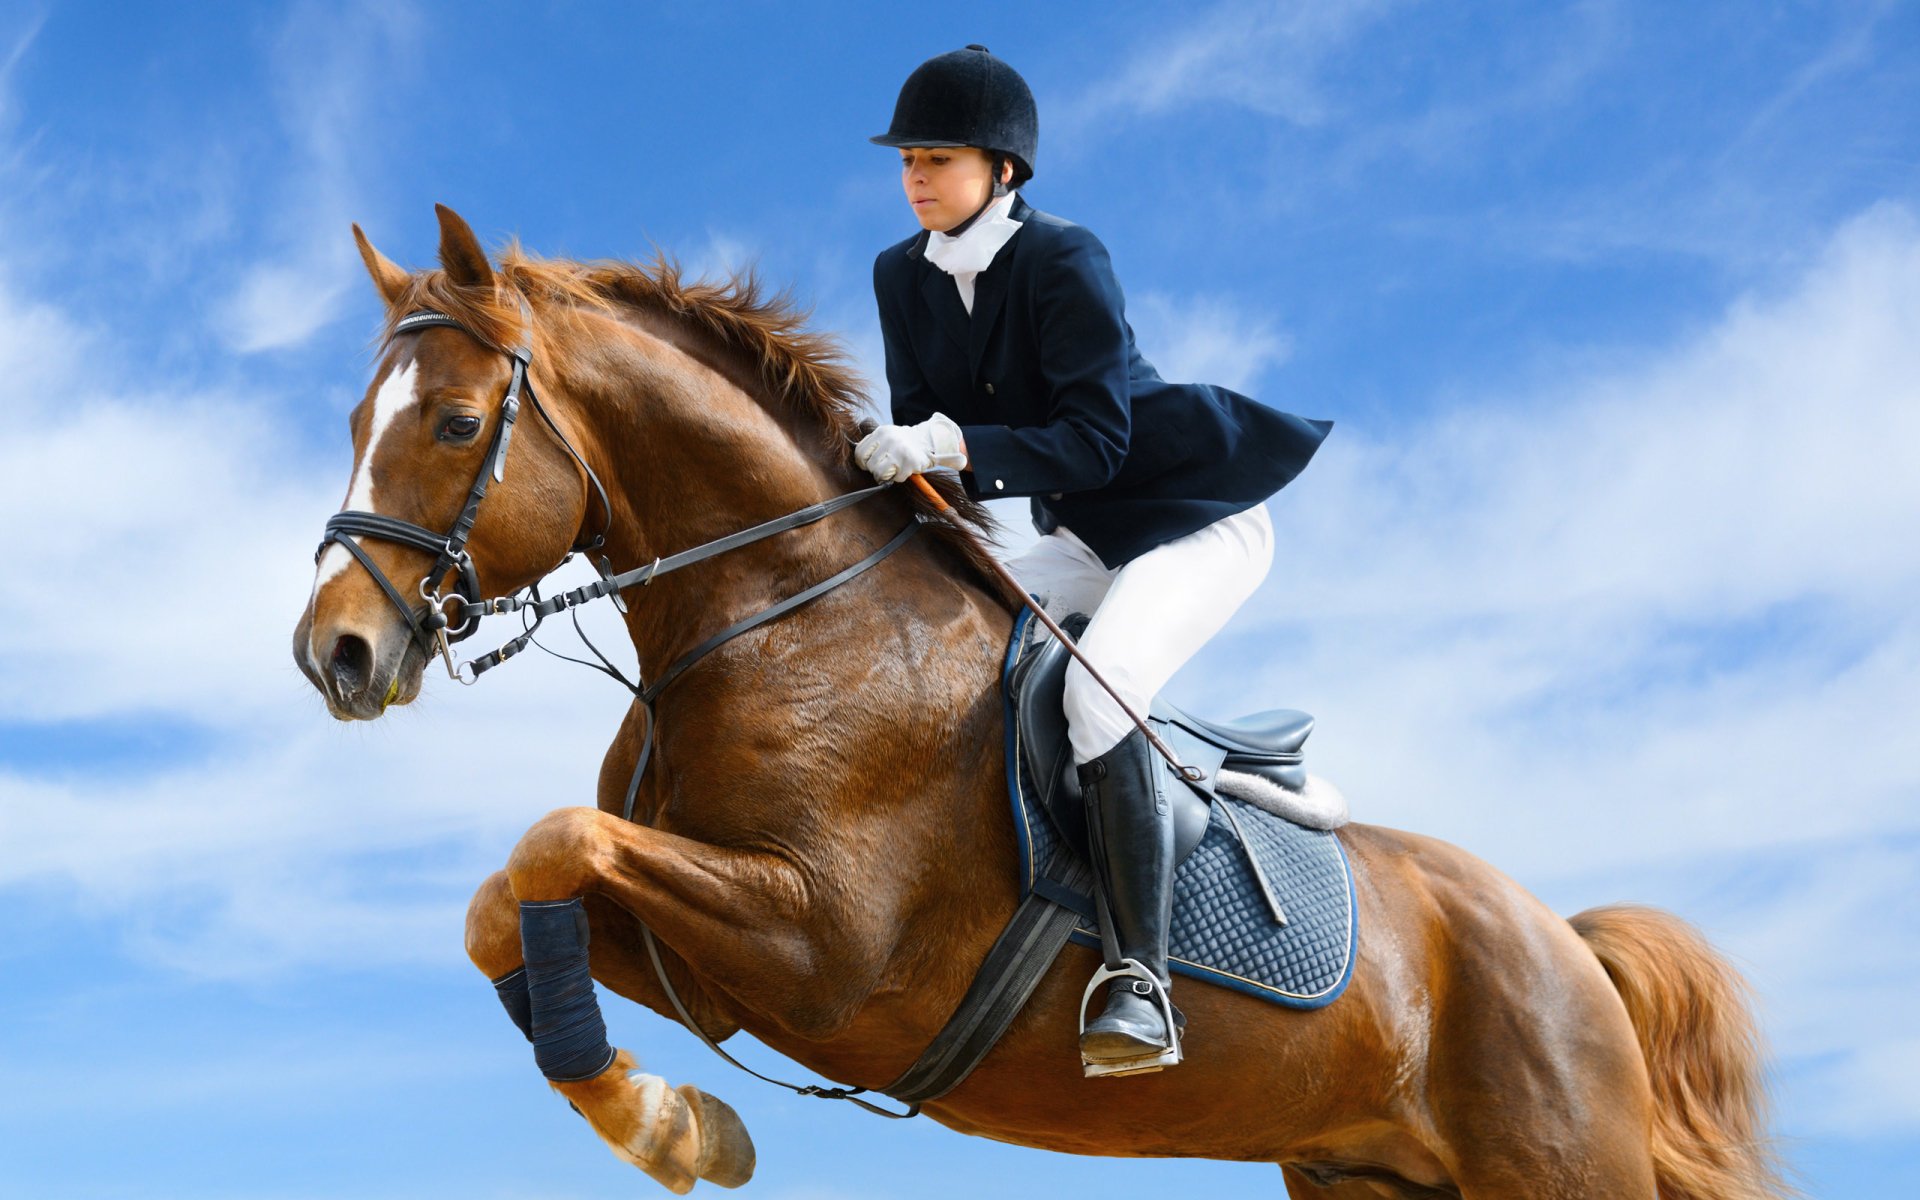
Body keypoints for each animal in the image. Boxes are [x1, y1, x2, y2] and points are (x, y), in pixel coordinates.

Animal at [292, 205, 1792, 1199]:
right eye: (357, 419)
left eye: (455, 424)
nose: (335, 657)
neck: (780, 614)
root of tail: (1567, 944)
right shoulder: (702, 961)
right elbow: (508, 899)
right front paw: (677, 1123)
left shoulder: (823, 944)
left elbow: (552, 842)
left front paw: (667, 1129)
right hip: (1367, 1175)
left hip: (1556, 1164)